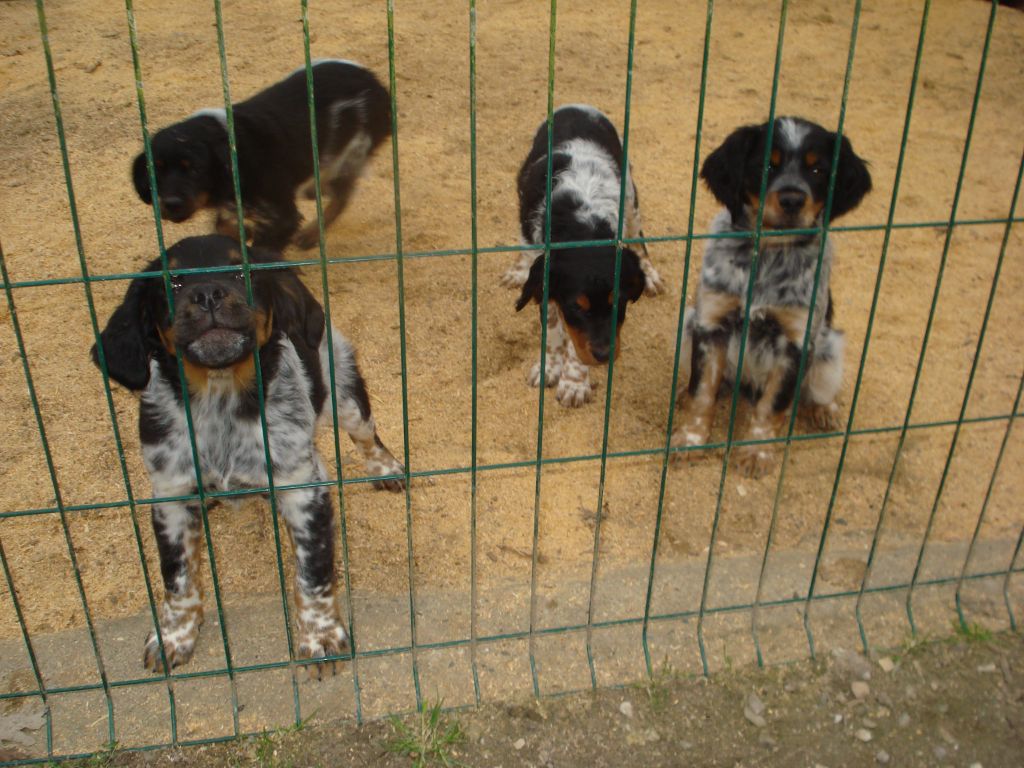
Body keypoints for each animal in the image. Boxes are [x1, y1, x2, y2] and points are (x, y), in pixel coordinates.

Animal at [92, 233, 403, 671]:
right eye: (173, 281)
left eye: (242, 272)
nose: (207, 293)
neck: (221, 399)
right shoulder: (170, 495)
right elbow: (178, 578)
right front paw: (173, 637)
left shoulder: (302, 488)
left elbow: (313, 571)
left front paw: (321, 636)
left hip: (343, 391)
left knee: (367, 434)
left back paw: (386, 469)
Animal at [134, 61, 389, 252]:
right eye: (155, 171)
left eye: (195, 170)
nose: (170, 204)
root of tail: (375, 82)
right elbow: (224, 226)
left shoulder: (283, 214)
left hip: (347, 156)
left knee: (342, 195)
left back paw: (310, 235)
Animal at [501, 105, 663, 411]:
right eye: (577, 307)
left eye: (620, 301)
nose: (604, 356)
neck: (583, 223)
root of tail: (577, 106)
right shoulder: (548, 284)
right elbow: (555, 330)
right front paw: (549, 369)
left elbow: (576, 344)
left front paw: (574, 383)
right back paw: (518, 270)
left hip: (630, 194)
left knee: (638, 237)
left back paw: (650, 274)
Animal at [671, 117, 872, 479]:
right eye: (766, 165)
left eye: (818, 170)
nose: (792, 200)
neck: (768, 254)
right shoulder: (710, 325)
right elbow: (703, 392)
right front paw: (691, 440)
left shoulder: (796, 342)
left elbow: (773, 405)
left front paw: (756, 452)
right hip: (688, 324)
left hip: (829, 348)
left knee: (816, 389)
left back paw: (825, 409)